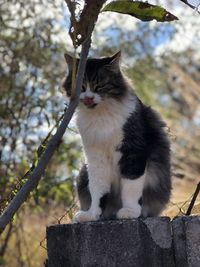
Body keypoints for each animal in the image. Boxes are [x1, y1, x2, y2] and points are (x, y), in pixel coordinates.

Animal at [63, 51, 171, 223]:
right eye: (82, 87)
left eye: (99, 86)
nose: (88, 98)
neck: (101, 116)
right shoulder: (95, 156)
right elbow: (97, 190)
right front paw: (93, 214)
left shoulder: (133, 151)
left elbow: (131, 186)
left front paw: (129, 211)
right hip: (83, 173)